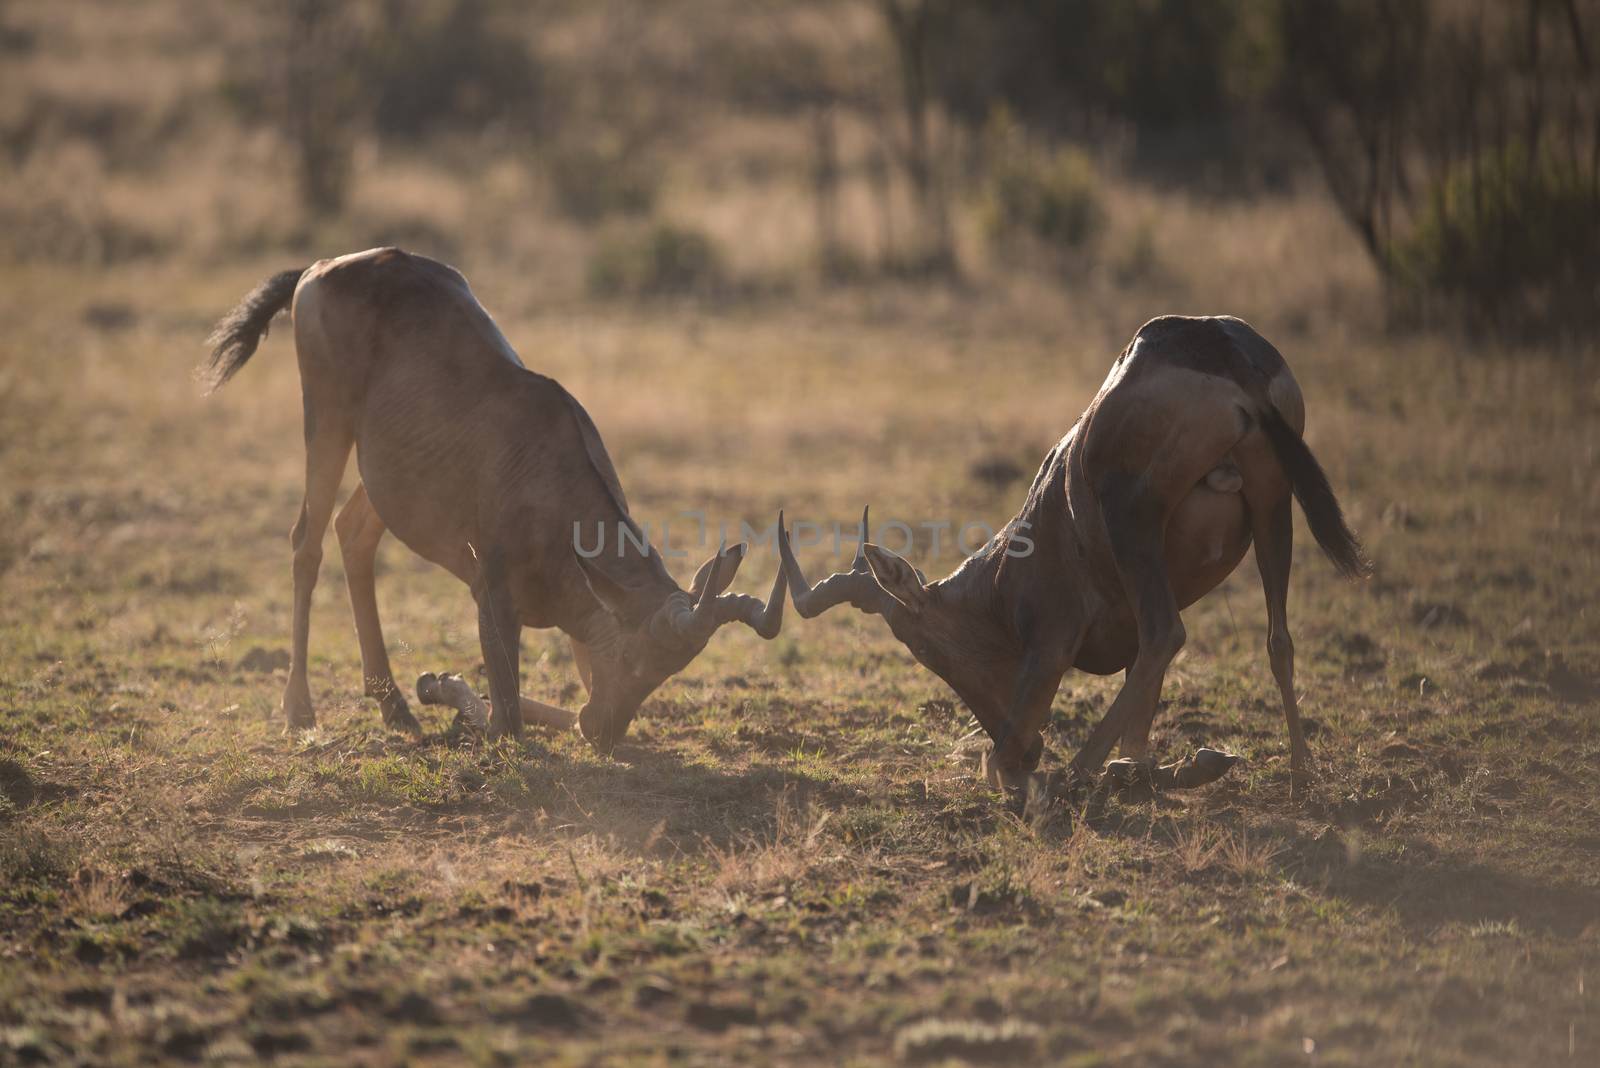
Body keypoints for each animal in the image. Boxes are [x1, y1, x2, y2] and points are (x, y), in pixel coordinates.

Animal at [200, 251, 787, 751]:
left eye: (667, 671)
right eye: (631, 654)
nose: (603, 730)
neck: (547, 465)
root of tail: (321, 268)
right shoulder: (490, 595)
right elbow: (506, 722)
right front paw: (438, 683)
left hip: (387, 472)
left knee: (353, 532)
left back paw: (395, 709)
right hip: (326, 421)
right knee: (307, 541)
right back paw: (301, 711)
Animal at [774, 313, 1363, 796]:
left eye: (922, 647)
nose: (1031, 748)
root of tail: (1223, 351)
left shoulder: (1052, 641)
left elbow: (996, 768)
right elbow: (1138, 734)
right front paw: (1181, 765)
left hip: (1134, 516)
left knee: (1167, 633)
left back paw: (1074, 773)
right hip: (1273, 507)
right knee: (1277, 640)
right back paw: (1300, 773)